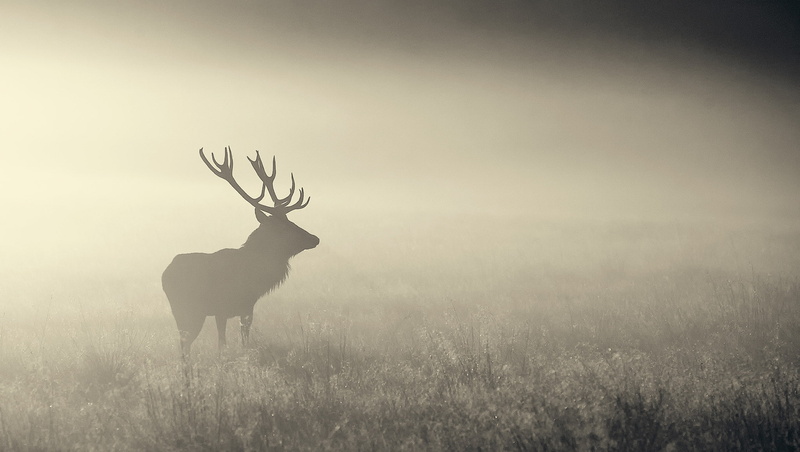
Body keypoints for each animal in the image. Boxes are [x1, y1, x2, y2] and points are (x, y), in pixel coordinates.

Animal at [162, 147, 319, 357]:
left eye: (291, 221)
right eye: (283, 227)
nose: (315, 238)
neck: (254, 276)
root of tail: (165, 274)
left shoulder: (247, 307)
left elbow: (244, 339)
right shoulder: (221, 307)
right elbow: (222, 343)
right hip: (189, 308)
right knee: (185, 345)